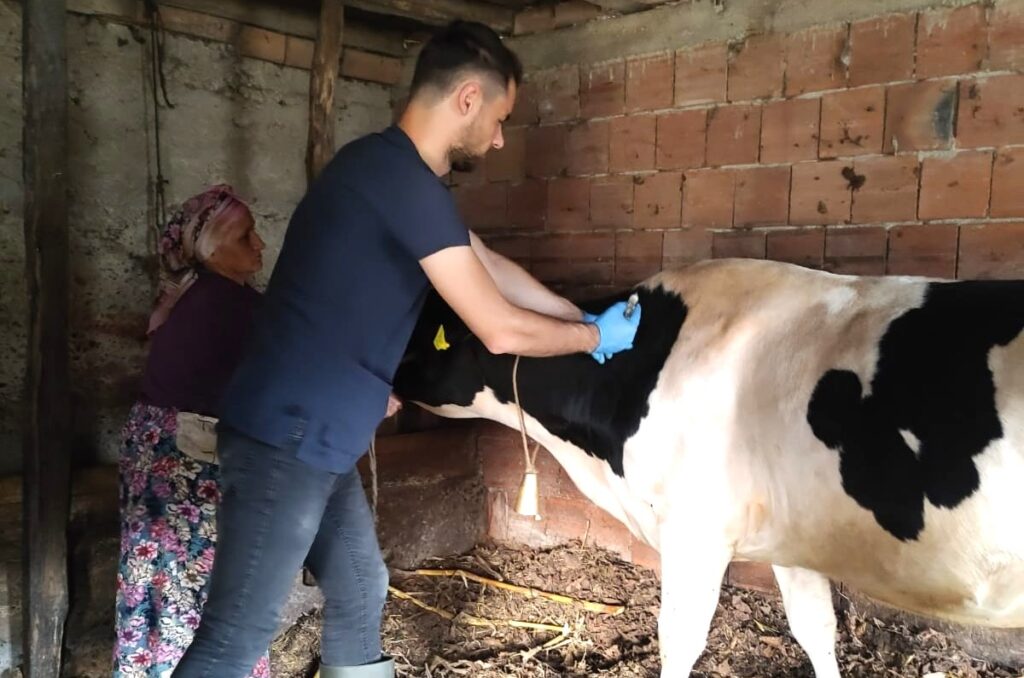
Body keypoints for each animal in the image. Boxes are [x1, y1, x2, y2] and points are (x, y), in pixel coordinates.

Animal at [395, 258, 1024, 675]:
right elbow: (815, 629)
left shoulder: (694, 531)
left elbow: (680, 639)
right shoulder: (794, 537)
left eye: (426, 335)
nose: (386, 376)